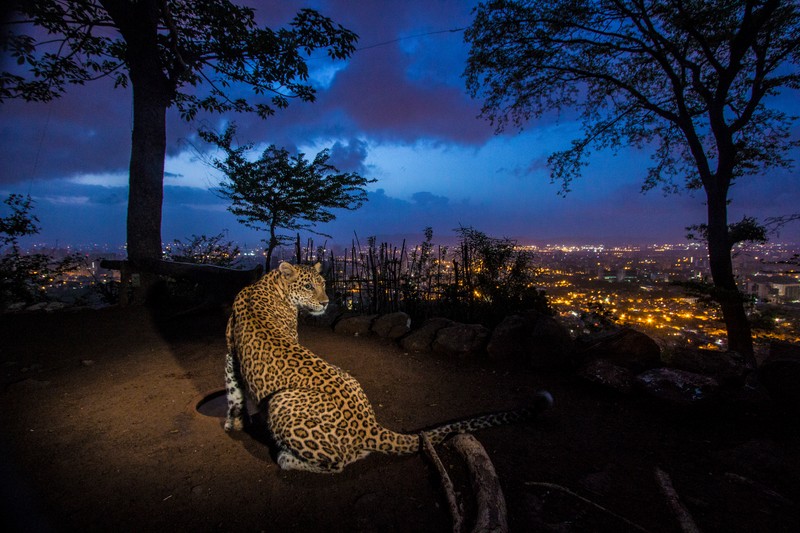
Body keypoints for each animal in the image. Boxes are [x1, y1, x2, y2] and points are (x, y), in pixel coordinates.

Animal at [222, 260, 552, 472]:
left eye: (323, 284)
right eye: (307, 286)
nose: (327, 302)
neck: (268, 285)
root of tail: (369, 425)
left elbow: (233, 390)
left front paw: (236, 423)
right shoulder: (231, 352)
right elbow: (233, 391)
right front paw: (235, 423)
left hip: (281, 401)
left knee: (337, 463)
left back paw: (287, 459)